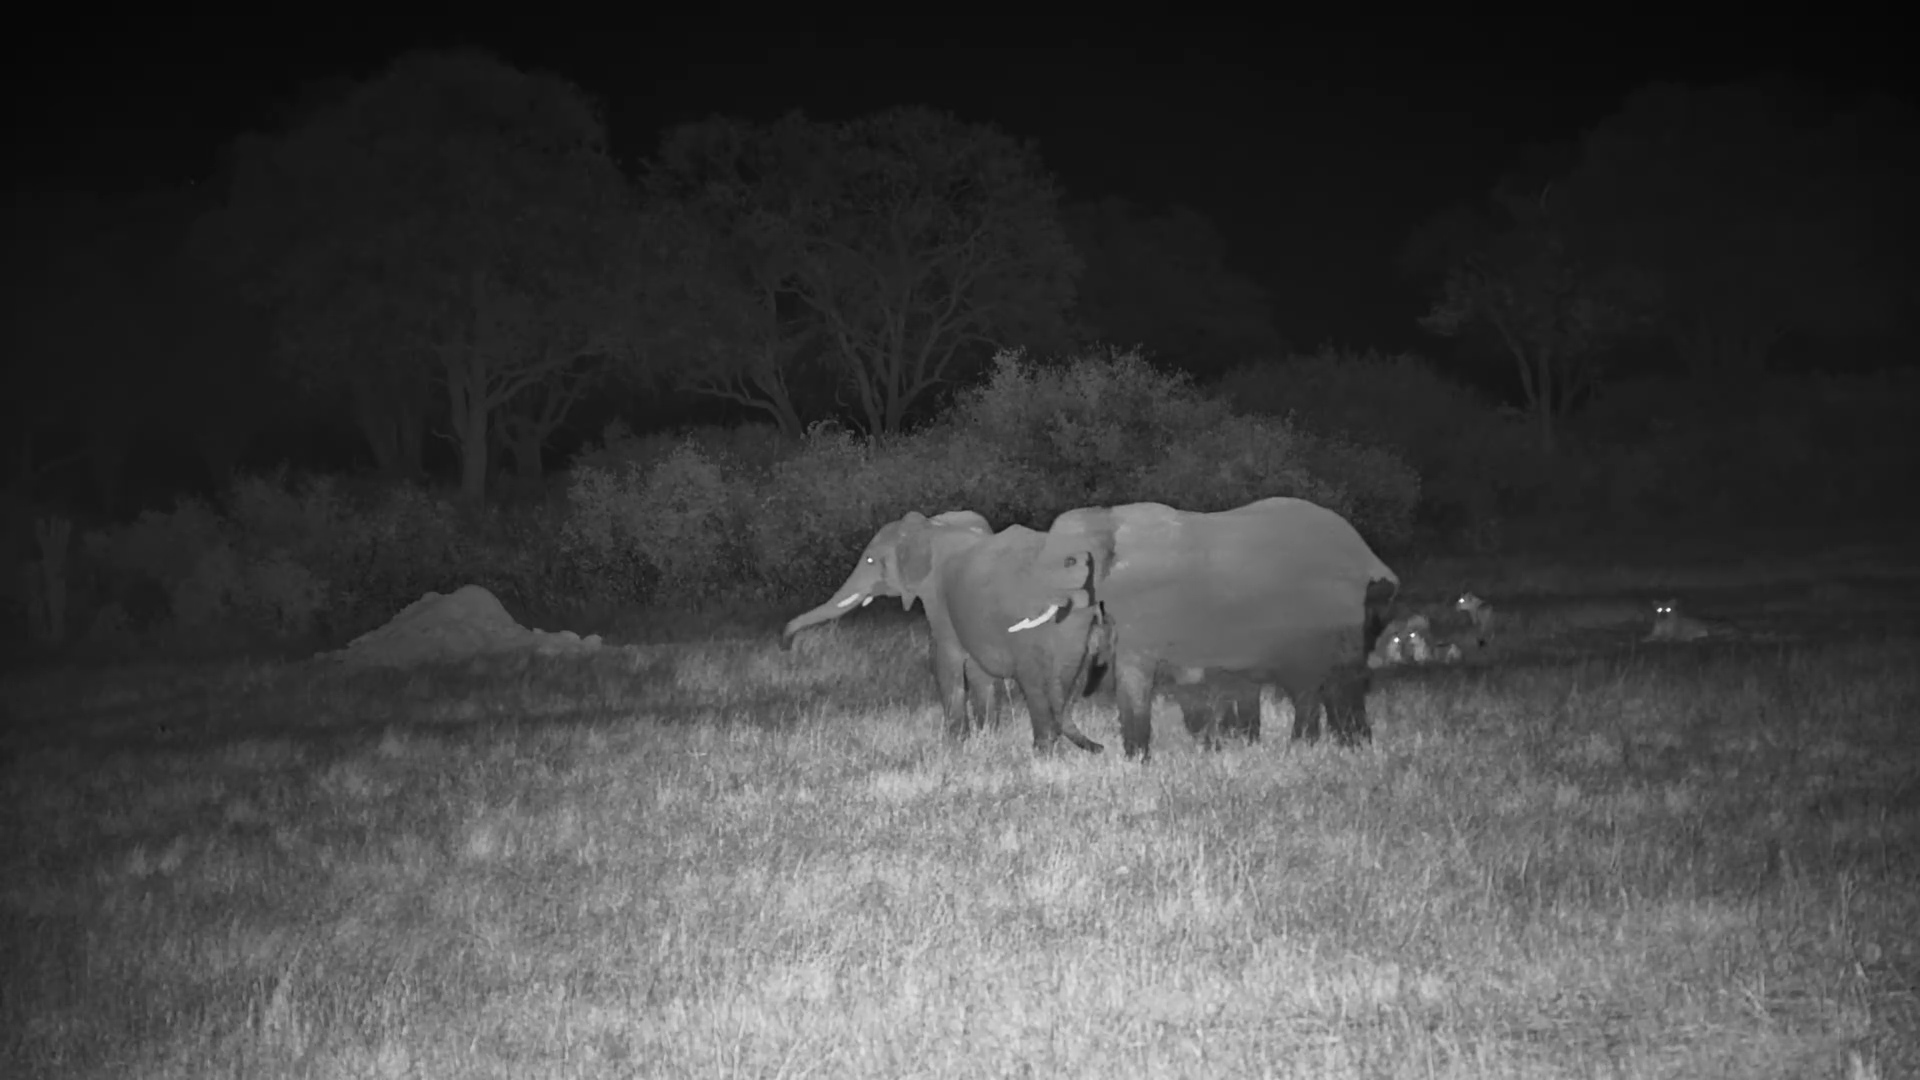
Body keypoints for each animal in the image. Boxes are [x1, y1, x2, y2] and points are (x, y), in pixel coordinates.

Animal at [780, 511, 1108, 755]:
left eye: (871, 560)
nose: (786, 645)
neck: (932, 527)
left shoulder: (938, 597)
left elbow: (944, 658)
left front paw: (955, 743)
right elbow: (976, 668)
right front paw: (986, 737)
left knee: (1033, 676)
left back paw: (1044, 750)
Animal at [1009, 496, 1398, 761]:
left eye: (1070, 561)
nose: (1099, 747)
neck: (1111, 518)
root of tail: (1374, 562)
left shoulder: (1150, 602)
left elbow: (1134, 672)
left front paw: (1137, 761)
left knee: (1326, 678)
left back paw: (1319, 747)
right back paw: (1343, 746)